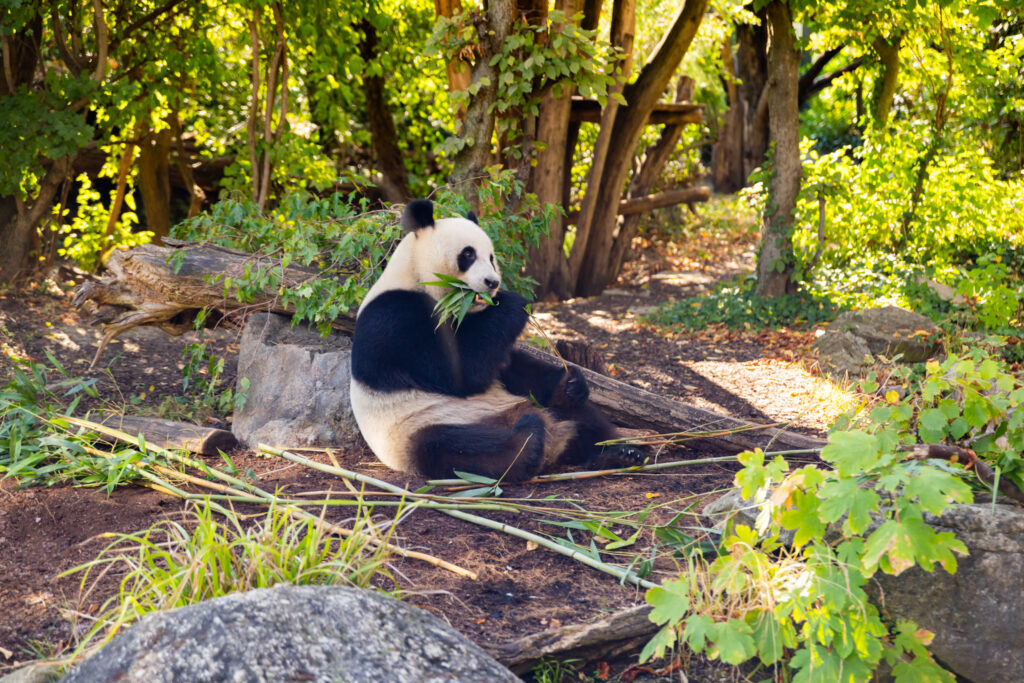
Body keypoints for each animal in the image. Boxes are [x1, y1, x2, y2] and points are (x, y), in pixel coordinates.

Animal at [349, 199, 642, 482]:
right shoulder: (394, 318)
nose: (492, 282)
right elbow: (459, 374)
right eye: (468, 254)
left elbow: (507, 363)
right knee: (458, 447)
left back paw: (614, 451)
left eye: (491, 257)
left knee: (579, 413)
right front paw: (512, 301)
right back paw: (529, 439)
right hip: (419, 426)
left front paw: (570, 381)